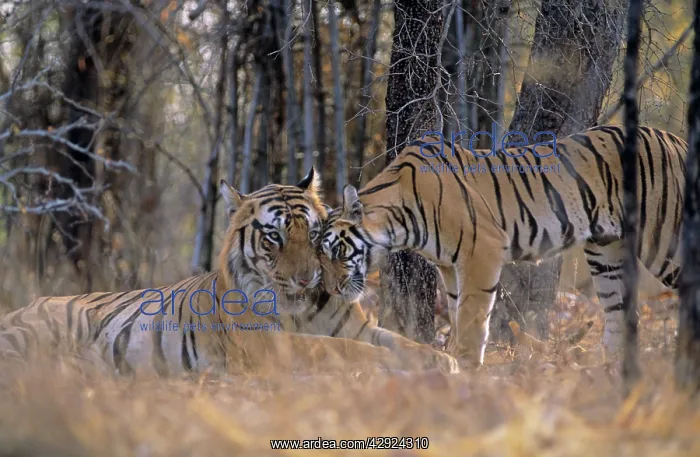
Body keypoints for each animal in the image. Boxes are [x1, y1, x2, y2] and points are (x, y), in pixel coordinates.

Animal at [0, 169, 458, 376]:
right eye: (274, 236)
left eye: (312, 234)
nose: (307, 280)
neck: (302, 310)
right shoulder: (268, 344)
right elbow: (341, 350)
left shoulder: (357, 327)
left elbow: (399, 341)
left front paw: (443, 359)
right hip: (41, 333)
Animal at [318, 125, 686, 366]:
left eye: (336, 251)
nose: (331, 290)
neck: (399, 221)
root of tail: (676, 139)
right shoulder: (449, 266)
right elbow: (457, 312)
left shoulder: (481, 250)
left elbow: (472, 318)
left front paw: (465, 368)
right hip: (606, 251)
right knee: (620, 313)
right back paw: (604, 371)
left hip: (664, 239)